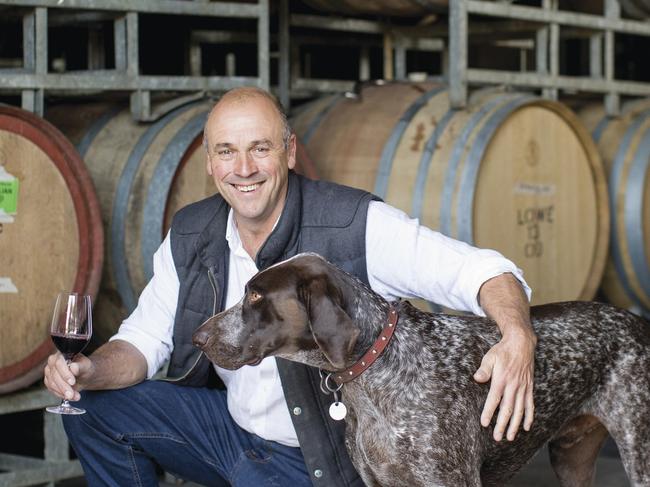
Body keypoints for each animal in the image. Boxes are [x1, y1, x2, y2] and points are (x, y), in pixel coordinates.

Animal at [190, 254, 648, 486]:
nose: (197, 337)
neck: (378, 369)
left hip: (639, 453)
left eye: (255, 296)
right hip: (571, 460)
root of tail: (637, 322)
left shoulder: (449, 482)